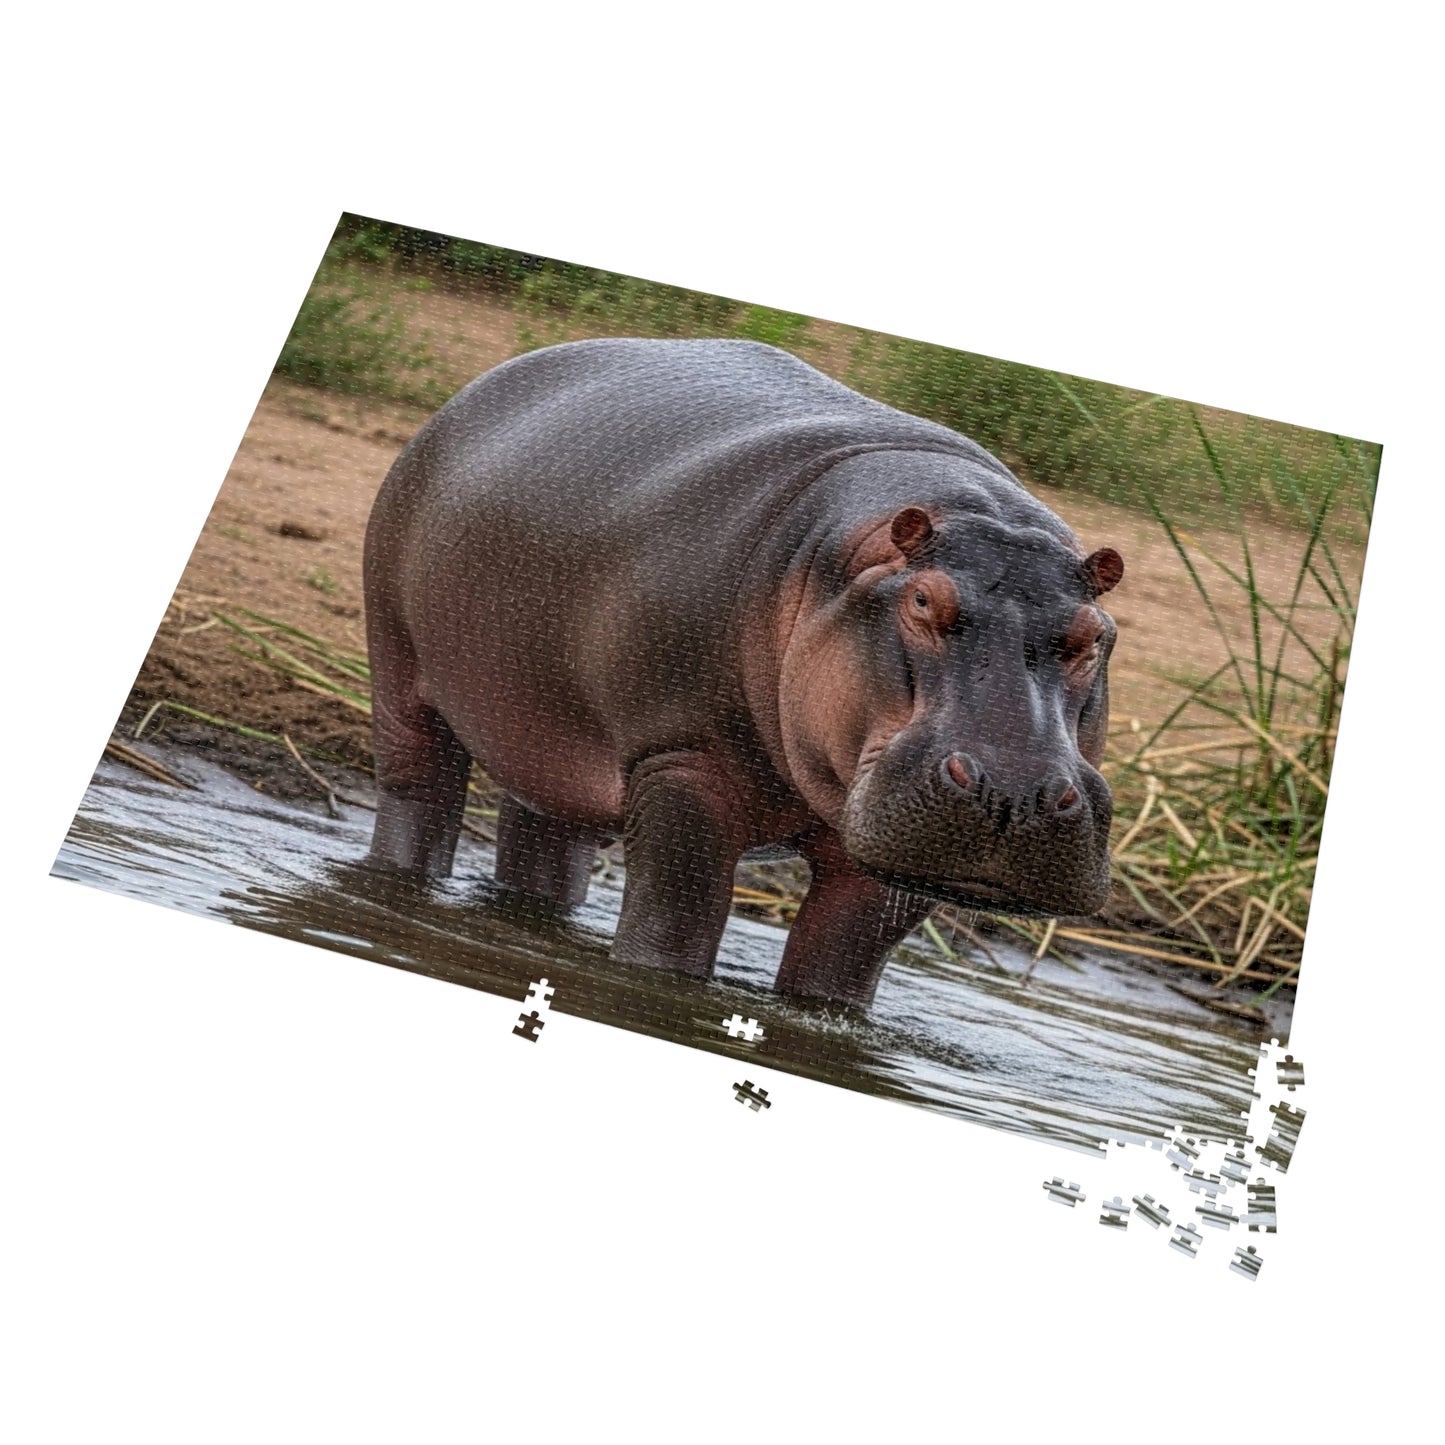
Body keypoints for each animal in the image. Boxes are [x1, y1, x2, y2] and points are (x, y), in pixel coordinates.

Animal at [362, 338, 1124, 1005]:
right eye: (921, 601)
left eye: (1094, 635)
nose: (1014, 792)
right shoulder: (680, 759)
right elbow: (676, 919)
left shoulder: (893, 852)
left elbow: (841, 962)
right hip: (398, 665)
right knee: (419, 791)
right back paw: (399, 879)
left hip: (551, 739)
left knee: (545, 841)